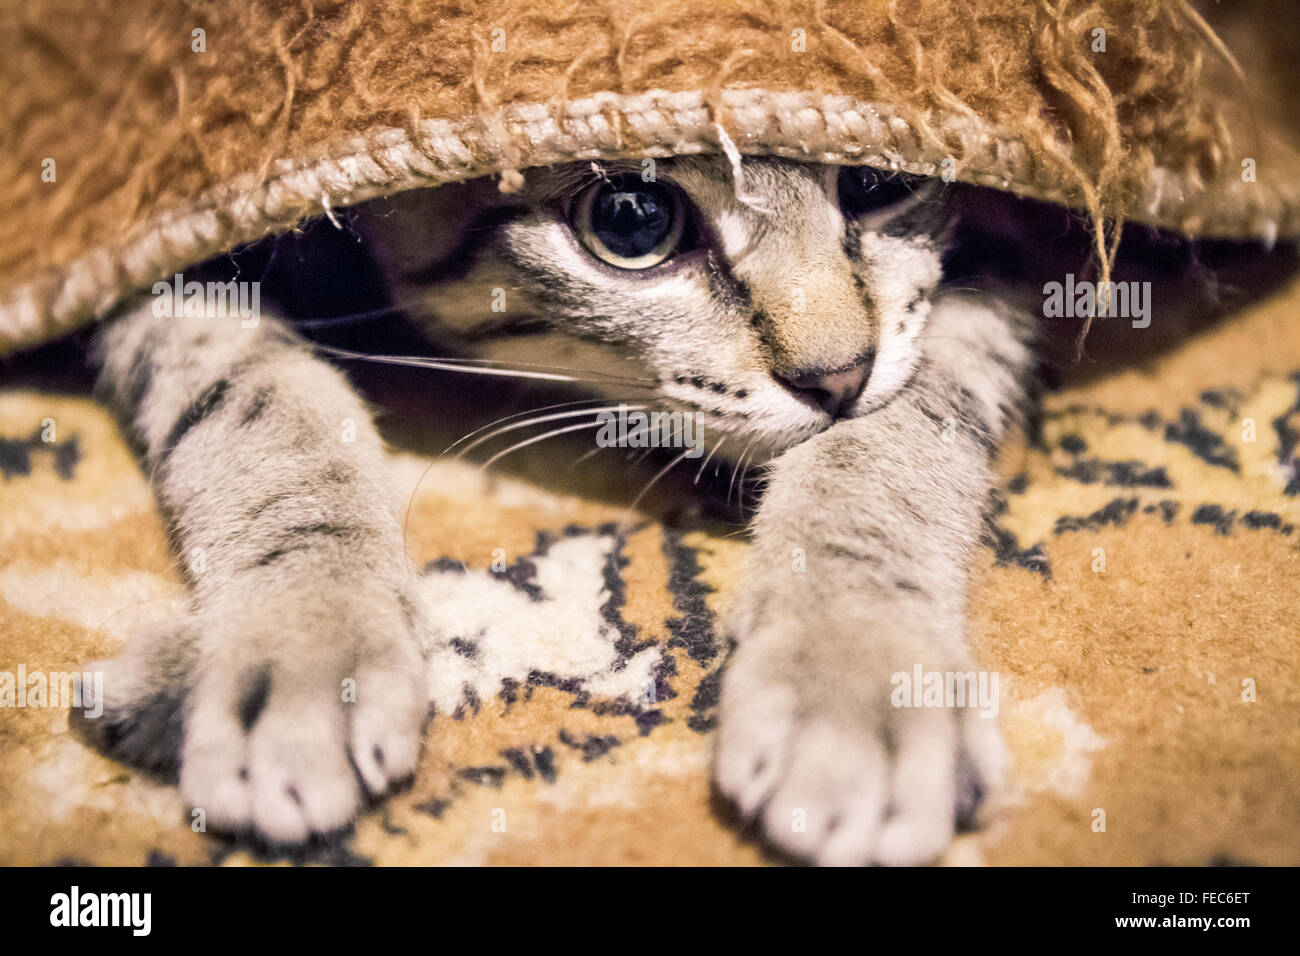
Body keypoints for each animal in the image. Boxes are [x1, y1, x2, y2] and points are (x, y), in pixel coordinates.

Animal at [78, 157, 1034, 868]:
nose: (838, 377)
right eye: (633, 219)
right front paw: (305, 637)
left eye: (879, 177)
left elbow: (903, 422)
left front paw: (858, 669)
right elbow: (244, 389)